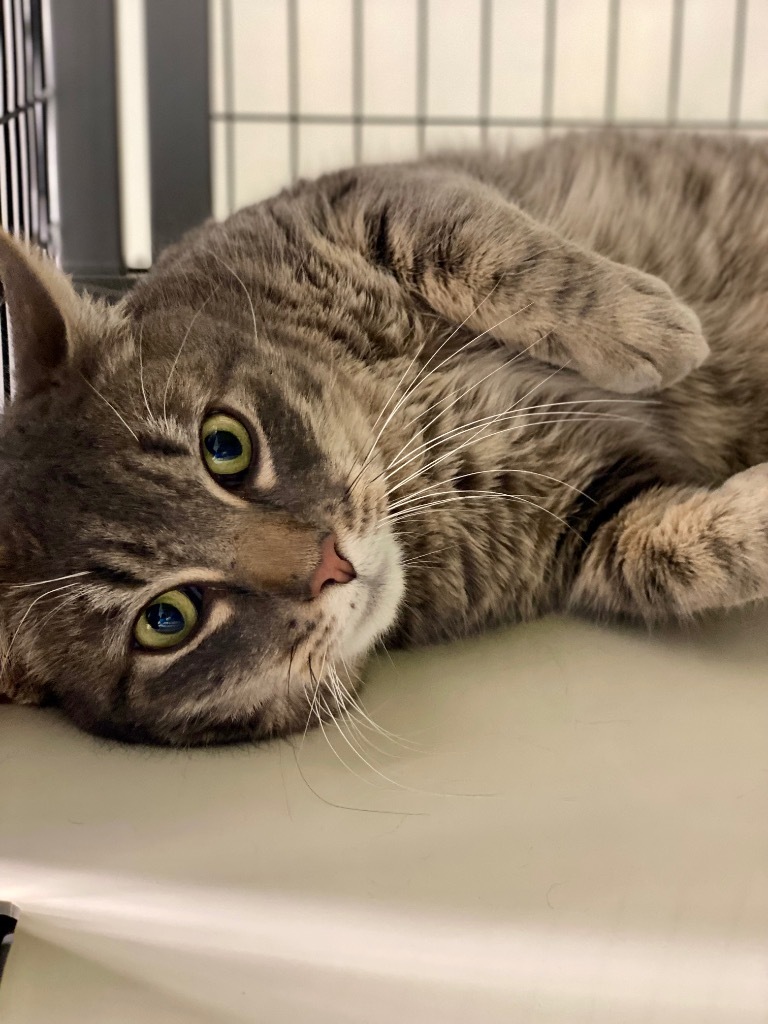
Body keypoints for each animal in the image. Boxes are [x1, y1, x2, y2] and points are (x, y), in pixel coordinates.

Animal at [0, 130, 765, 745]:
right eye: (167, 619)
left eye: (225, 446)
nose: (329, 565)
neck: (397, 438)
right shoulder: (589, 512)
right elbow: (678, 555)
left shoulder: (363, 198)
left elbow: (509, 260)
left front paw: (653, 327)